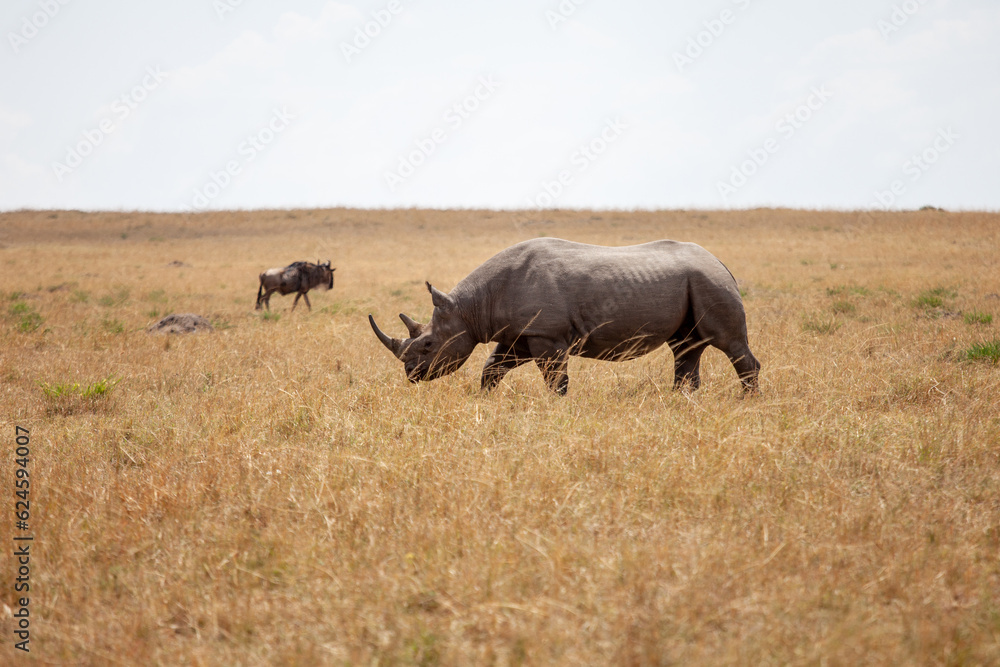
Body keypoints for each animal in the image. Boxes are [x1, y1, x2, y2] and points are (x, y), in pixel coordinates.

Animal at [369, 238, 759, 395]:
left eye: (428, 345)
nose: (411, 374)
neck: (470, 307)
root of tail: (720, 261)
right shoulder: (520, 335)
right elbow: (492, 369)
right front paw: (483, 400)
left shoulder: (547, 335)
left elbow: (556, 380)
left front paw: (557, 408)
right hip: (697, 281)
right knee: (686, 347)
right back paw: (681, 401)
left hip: (708, 281)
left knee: (727, 343)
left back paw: (747, 401)